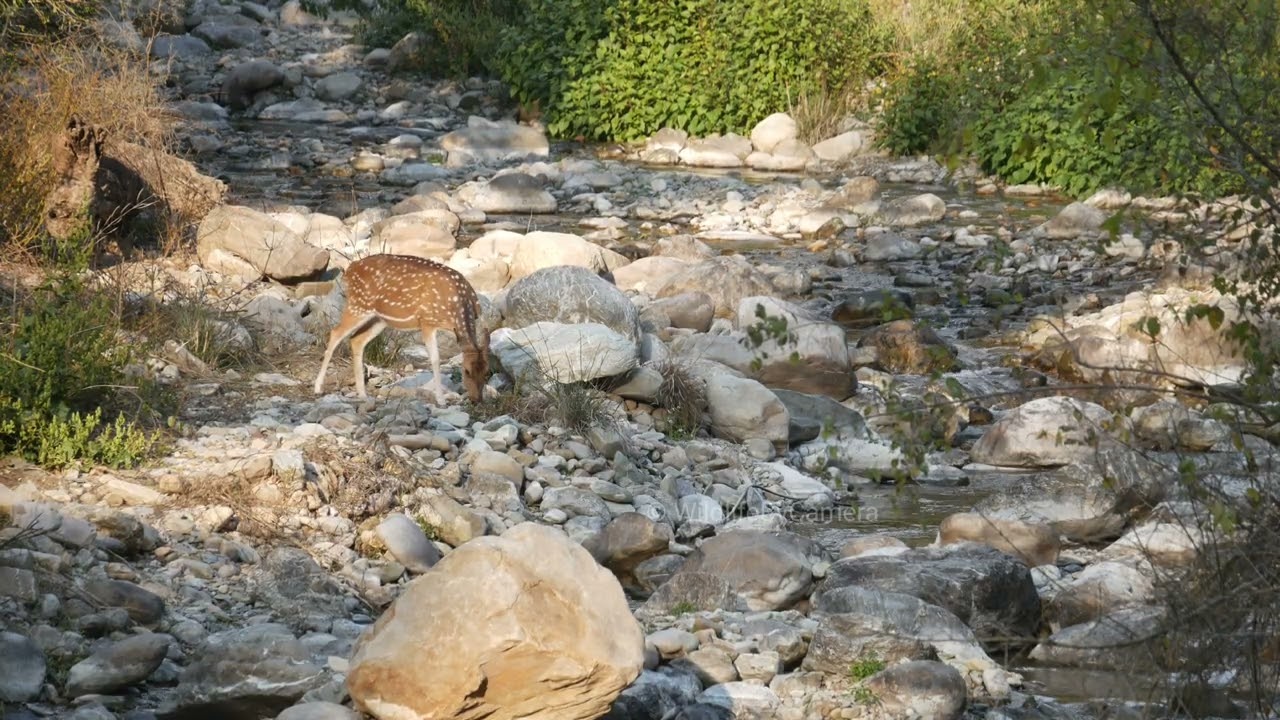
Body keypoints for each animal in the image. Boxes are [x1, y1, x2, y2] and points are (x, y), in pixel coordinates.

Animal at [313, 253, 491, 406]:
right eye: (466, 371)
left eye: (486, 372)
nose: (477, 400)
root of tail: (350, 269)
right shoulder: (426, 322)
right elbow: (435, 359)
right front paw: (441, 400)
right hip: (359, 305)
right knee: (335, 333)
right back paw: (318, 388)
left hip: (379, 319)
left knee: (356, 339)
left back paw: (363, 394)